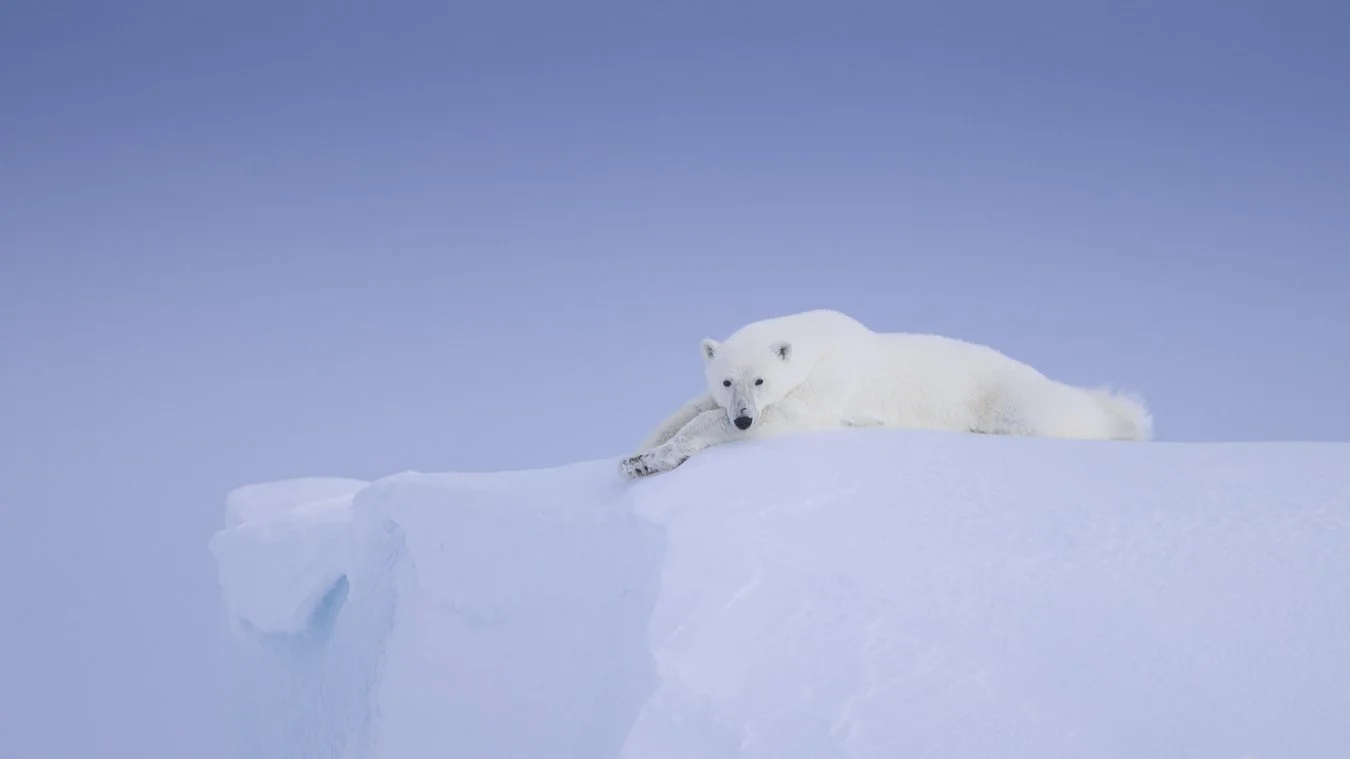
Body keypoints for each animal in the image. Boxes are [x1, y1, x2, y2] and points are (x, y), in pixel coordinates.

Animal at [620, 308, 1151, 478]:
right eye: (728, 380)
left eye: (761, 379)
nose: (744, 418)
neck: (818, 340)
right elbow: (691, 407)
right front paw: (638, 456)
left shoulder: (828, 387)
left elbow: (786, 416)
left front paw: (657, 457)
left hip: (1013, 399)